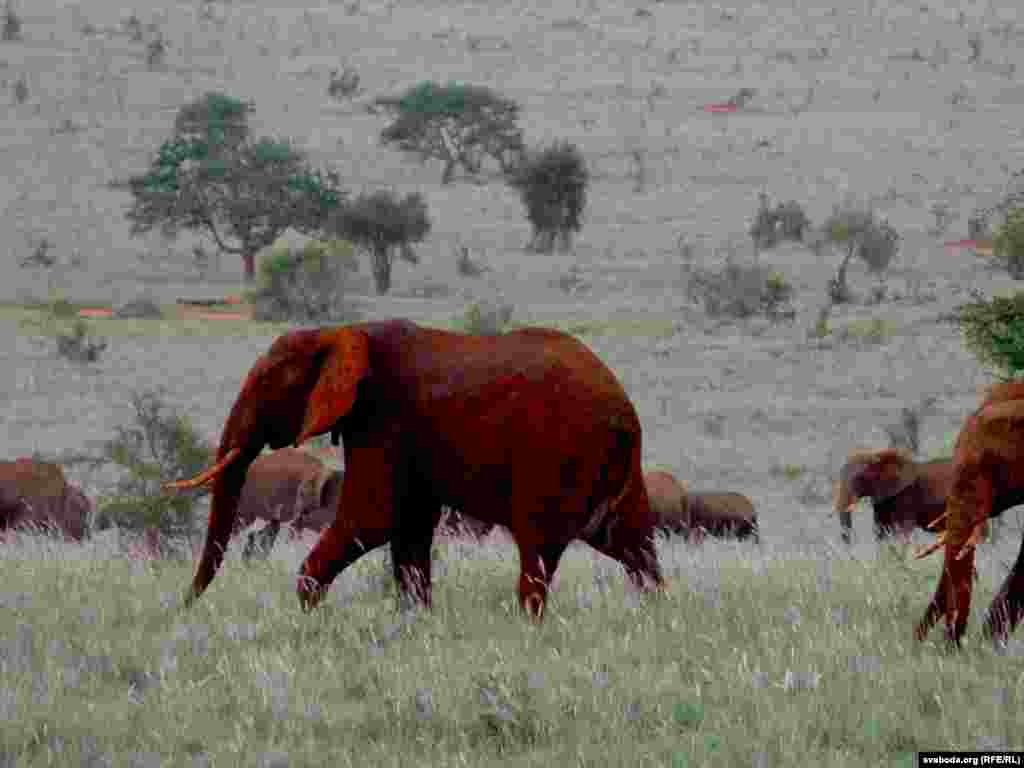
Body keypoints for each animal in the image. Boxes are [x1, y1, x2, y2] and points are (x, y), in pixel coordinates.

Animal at [167, 321, 663, 622]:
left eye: (269, 382)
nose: (183, 606)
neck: (345, 332)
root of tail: (624, 413)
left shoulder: (382, 420)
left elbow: (374, 518)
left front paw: (308, 614)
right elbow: (409, 527)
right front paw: (416, 622)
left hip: (557, 459)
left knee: (538, 548)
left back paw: (528, 627)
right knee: (629, 542)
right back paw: (657, 613)